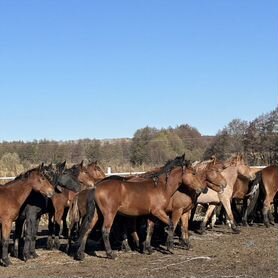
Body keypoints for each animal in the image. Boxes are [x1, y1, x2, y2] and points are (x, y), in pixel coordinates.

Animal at [74, 154, 208, 260]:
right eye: (193, 173)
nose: (204, 189)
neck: (161, 187)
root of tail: (96, 187)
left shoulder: (151, 214)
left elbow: (150, 229)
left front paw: (147, 249)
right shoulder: (160, 212)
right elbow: (172, 225)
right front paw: (170, 247)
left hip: (96, 214)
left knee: (87, 229)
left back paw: (80, 254)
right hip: (109, 214)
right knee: (105, 231)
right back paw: (111, 253)